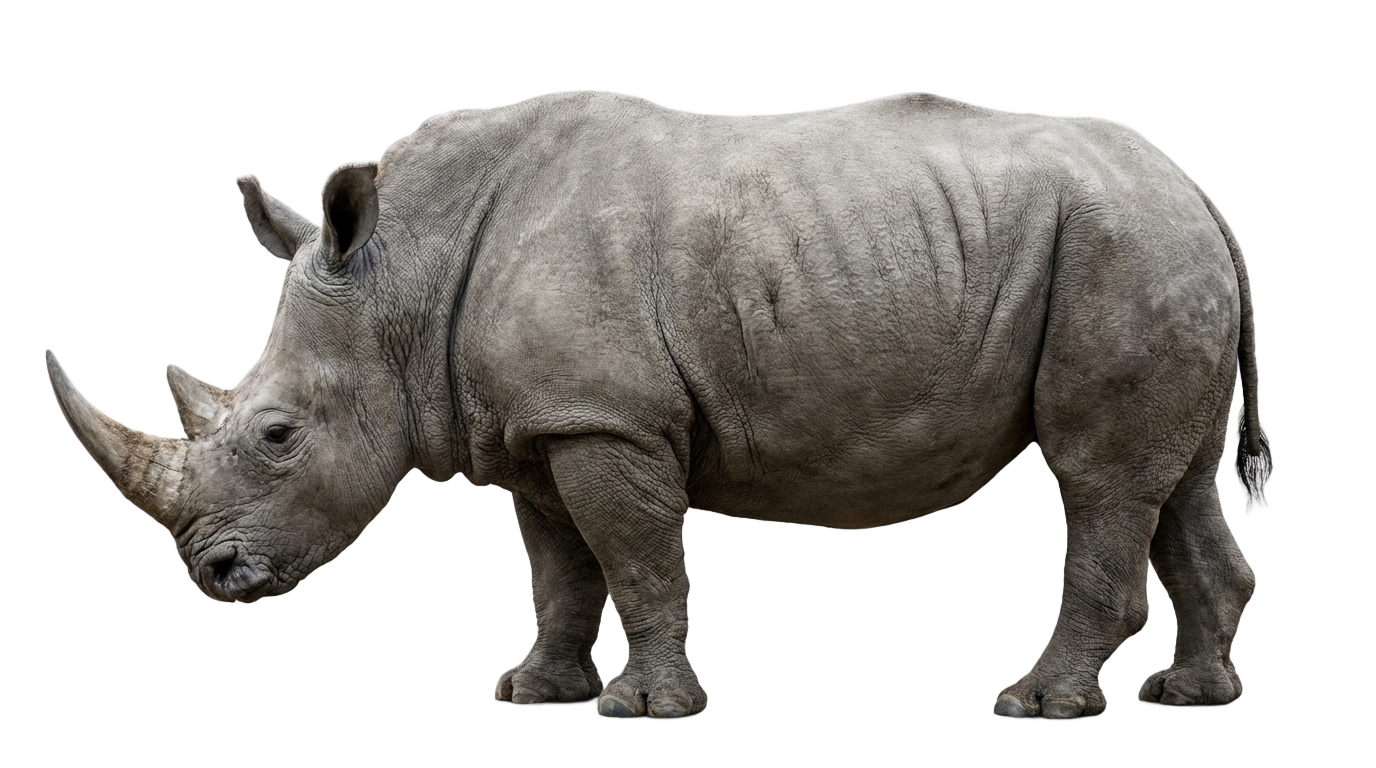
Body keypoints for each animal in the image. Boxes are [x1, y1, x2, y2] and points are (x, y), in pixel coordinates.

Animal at [46, 92, 1269, 718]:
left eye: (277, 434)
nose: (212, 573)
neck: (402, 273)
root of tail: (1198, 191)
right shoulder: (540, 423)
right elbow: (558, 570)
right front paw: (534, 696)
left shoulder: (605, 416)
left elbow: (632, 558)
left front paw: (645, 712)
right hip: (1156, 253)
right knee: (1181, 492)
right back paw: (1191, 697)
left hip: (1122, 251)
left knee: (1101, 484)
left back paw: (1035, 708)